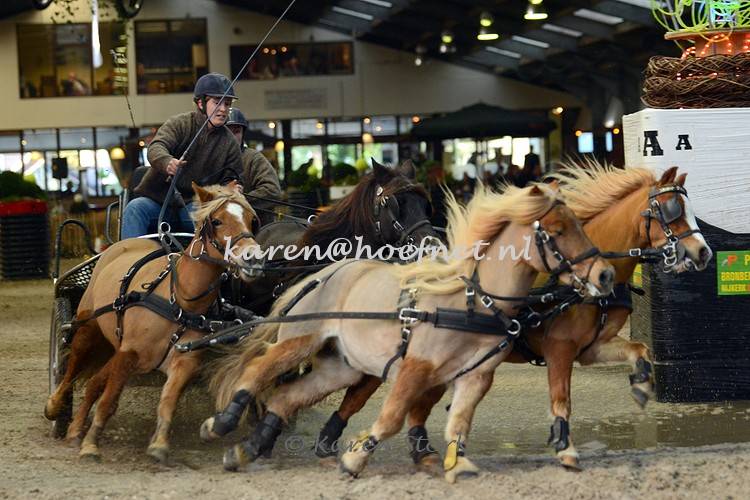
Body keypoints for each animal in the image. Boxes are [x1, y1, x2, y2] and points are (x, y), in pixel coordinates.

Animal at [201, 183, 616, 480]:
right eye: (557, 230)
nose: (605, 274)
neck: (471, 300)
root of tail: (323, 274)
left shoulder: (476, 375)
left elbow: (458, 421)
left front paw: (454, 462)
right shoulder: (416, 365)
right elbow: (393, 415)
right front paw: (355, 458)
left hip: (341, 365)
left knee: (287, 396)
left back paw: (246, 450)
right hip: (301, 340)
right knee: (258, 371)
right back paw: (221, 423)